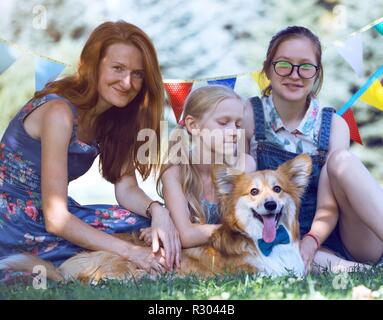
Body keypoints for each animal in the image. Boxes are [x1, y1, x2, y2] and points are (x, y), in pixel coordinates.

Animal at [0, 155, 312, 282]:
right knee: (96, 279)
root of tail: (63, 267)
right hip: (123, 262)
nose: (270, 205)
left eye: (278, 189)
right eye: (254, 192)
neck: (269, 244)